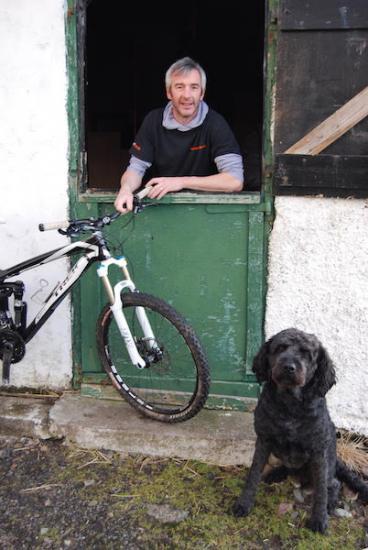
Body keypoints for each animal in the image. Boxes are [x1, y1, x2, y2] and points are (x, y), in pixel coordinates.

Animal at [233, 328, 368, 536]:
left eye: (307, 353)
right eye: (280, 348)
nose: (289, 366)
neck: (290, 404)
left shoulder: (318, 451)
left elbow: (320, 491)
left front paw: (319, 518)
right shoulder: (263, 440)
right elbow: (253, 474)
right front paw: (244, 503)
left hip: (326, 466)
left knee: (333, 484)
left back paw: (330, 503)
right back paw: (276, 473)